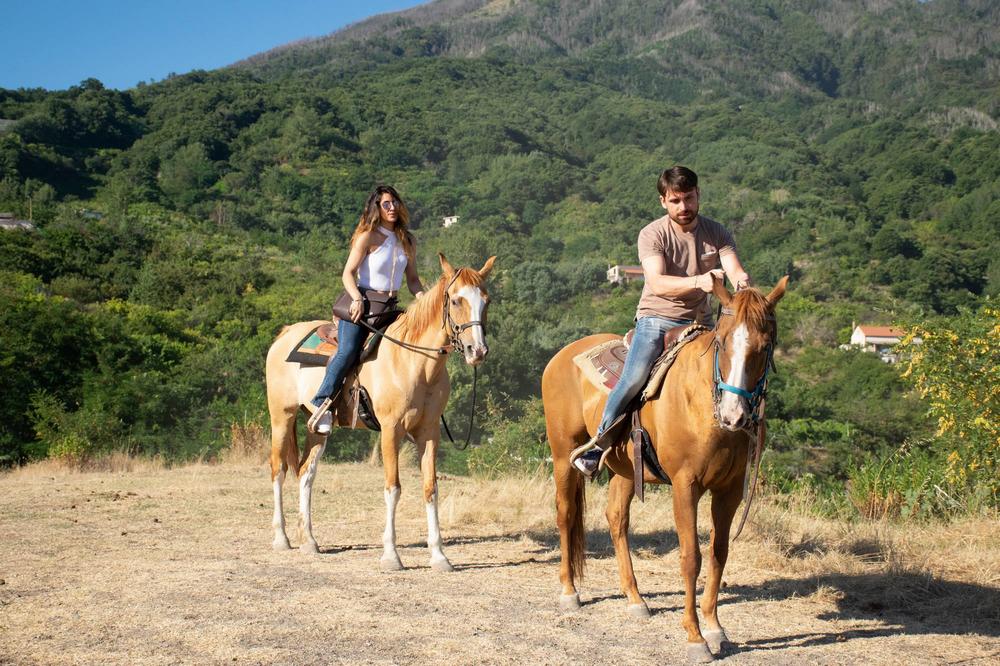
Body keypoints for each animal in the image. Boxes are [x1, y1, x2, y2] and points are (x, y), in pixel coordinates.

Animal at [266, 252, 496, 568]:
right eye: (456, 300)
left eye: (486, 300)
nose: (478, 351)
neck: (413, 361)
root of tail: (285, 334)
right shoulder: (391, 430)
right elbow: (393, 488)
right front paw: (391, 555)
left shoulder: (429, 433)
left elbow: (430, 488)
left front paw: (439, 556)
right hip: (281, 416)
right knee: (278, 470)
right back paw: (281, 538)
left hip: (317, 427)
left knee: (305, 473)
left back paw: (309, 541)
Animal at [544, 274, 784, 660]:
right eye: (722, 342)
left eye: (764, 347)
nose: (734, 415)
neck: (702, 404)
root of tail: (560, 356)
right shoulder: (686, 486)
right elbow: (691, 558)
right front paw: (696, 637)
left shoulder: (730, 490)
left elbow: (718, 553)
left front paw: (715, 628)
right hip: (563, 454)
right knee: (566, 515)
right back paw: (569, 592)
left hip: (625, 469)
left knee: (617, 519)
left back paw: (635, 598)